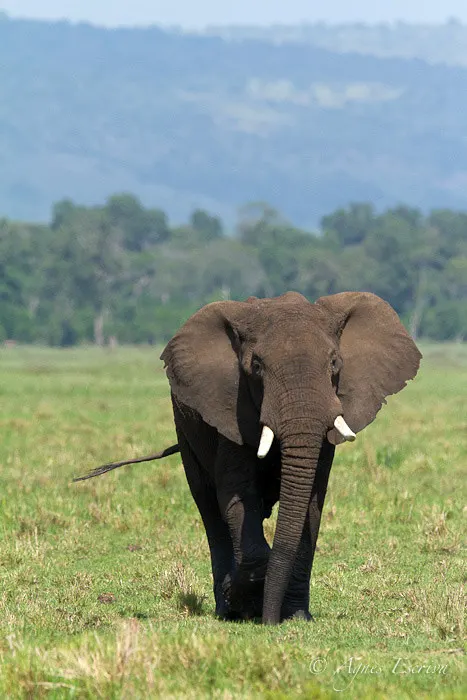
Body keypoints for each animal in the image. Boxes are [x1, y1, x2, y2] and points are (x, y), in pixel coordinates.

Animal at [75, 291, 422, 625]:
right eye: (256, 367)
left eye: (335, 363)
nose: (269, 622)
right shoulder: (230, 408)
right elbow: (238, 497)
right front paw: (243, 600)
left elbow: (311, 505)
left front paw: (296, 617)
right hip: (185, 427)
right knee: (207, 507)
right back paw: (225, 609)